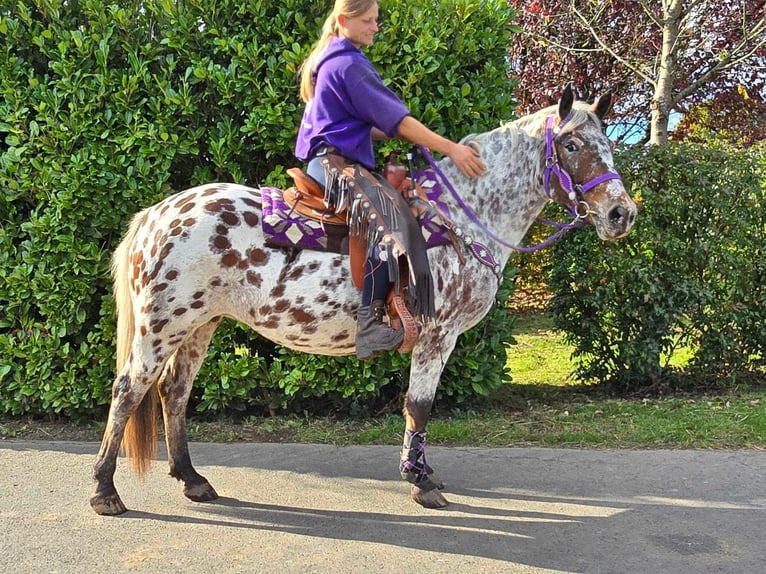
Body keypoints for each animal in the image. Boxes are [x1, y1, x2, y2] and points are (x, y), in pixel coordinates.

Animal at [90, 85, 640, 516]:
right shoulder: (437, 337)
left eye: (609, 143)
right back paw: (104, 491)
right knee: (128, 392)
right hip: (160, 327)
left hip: (199, 325)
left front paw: (424, 472)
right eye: (571, 143)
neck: (460, 219)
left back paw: (192, 480)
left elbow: (418, 410)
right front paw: (419, 483)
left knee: (174, 393)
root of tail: (156, 214)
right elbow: (419, 405)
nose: (621, 213)